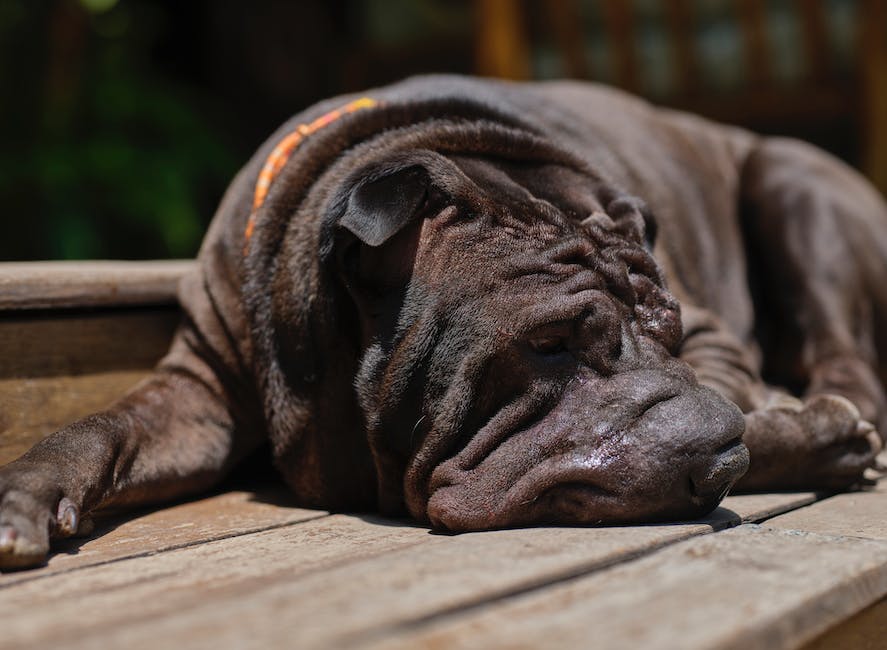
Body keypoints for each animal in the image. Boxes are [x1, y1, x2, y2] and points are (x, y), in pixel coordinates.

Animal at [1, 74, 887, 560]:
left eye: (666, 331)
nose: (711, 453)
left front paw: (804, 433)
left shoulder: (709, 329)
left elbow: (735, 391)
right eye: (548, 343)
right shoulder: (198, 392)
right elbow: (100, 427)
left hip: (792, 179)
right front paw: (25, 495)